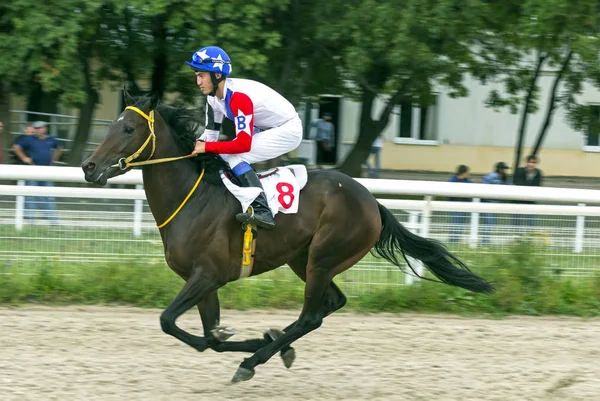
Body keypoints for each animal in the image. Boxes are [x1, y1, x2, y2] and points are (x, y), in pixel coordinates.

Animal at [79, 90, 494, 382]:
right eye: (111, 126)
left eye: (128, 129)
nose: (89, 167)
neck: (192, 199)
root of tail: (372, 201)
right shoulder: (201, 281)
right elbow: (209, 336)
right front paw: (250, 338)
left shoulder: (208, 275)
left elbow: (171, 322)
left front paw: (255, 343)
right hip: (303, 258)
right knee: (330, 304)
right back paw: (273, 349)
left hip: (322, 257)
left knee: (312, 315)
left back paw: (254, 360)